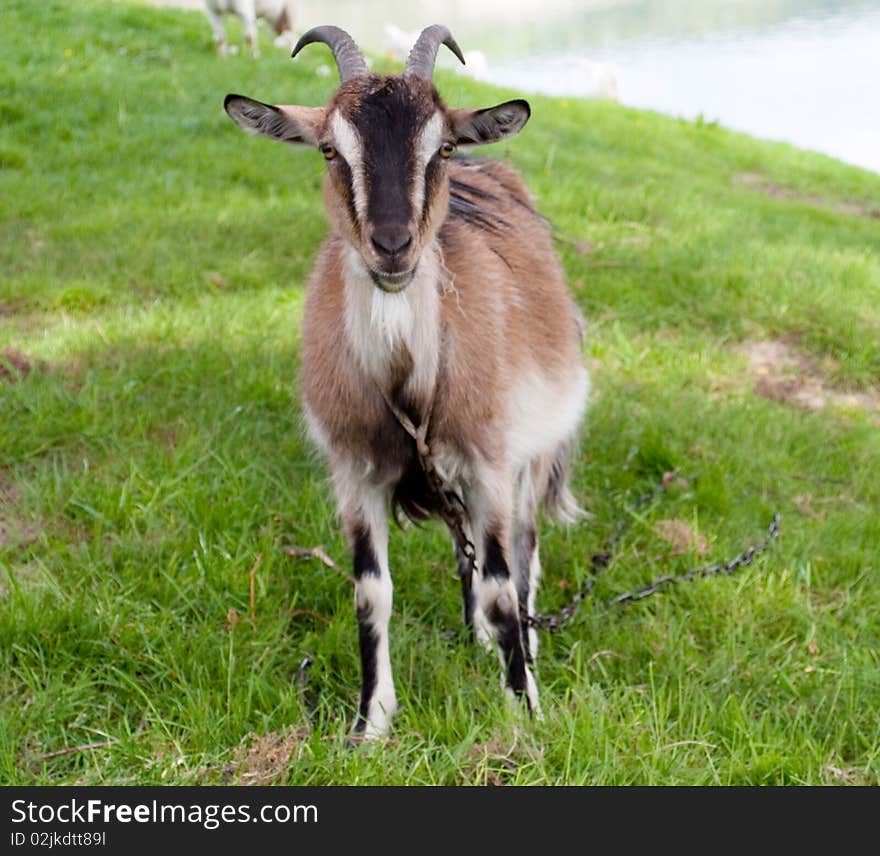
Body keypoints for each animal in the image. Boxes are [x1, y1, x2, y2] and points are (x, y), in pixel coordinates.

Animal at [223, 23, 588, 740]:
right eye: (330, 150)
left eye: (440, 146)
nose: (392, 247)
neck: (406, 380)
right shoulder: (354, 471)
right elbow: (372, 592)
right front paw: (370, 723)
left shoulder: (490, 459)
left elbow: (504, 584)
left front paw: (525, 712)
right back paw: (476, 637)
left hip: (530, 457)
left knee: (524, 558)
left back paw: (521, 652)